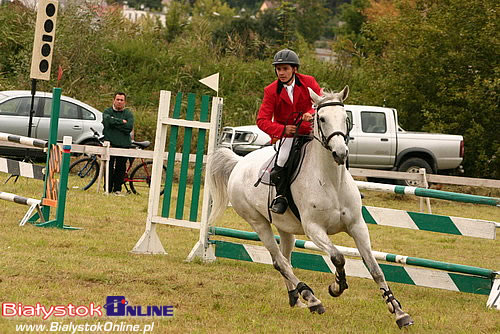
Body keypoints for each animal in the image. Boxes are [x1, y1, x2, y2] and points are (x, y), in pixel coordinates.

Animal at [207, 86, 414, 328]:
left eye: (345, 118)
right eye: (321, 118)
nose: (340, 153)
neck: (332, 181)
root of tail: (240, 163)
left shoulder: (357, 226)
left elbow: (375, 269)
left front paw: (399, 312)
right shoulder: (314, 229)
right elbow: (338, 257)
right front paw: (336, 286)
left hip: (285, 228)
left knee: (284, 259)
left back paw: (296, 297)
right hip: (258, 222)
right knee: (280, 261)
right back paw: (312, 298)